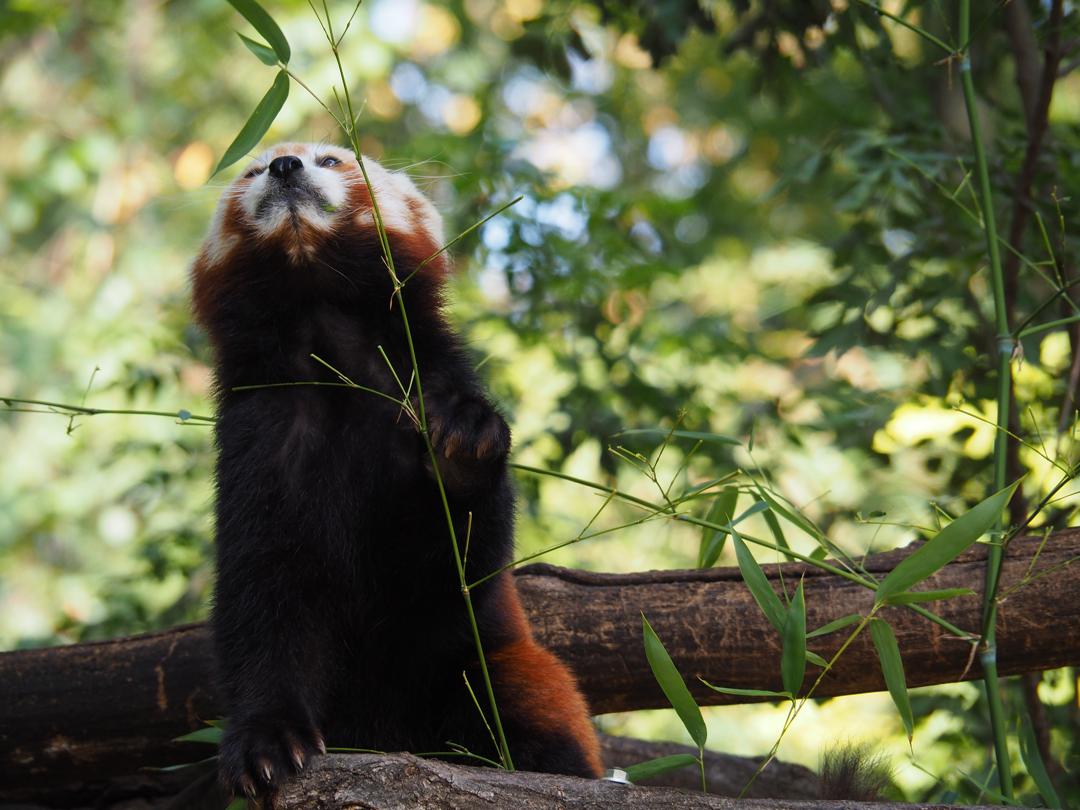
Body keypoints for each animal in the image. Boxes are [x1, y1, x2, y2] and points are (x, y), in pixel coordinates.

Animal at [190, 144, 604, 799]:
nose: (284, 166)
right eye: (252, 170)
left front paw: (463, 447)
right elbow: (263, 600)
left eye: (330, 159)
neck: (328, 342)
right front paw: (264, 741)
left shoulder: (420, 382)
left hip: (493, 667)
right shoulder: (258, 440)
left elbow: (454, 568)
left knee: (512, 698)